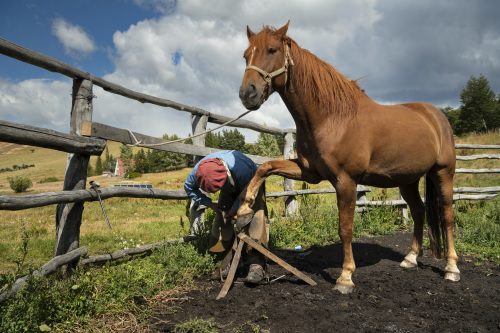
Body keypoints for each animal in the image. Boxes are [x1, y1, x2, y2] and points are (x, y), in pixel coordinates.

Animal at [236, 22, 458, 294]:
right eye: (246, 55)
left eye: (271, 50)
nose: (247, 94)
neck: (333, 117)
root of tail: (436, 116)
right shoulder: (309, 172)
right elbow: (265, 167)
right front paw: (244, 209)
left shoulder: (346, 181)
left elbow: (345, 228)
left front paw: (345, 277)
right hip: (408, 180)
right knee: (418, 211)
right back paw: (410, 259)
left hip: (443, 172)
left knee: (447, 215)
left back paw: (451, 268)